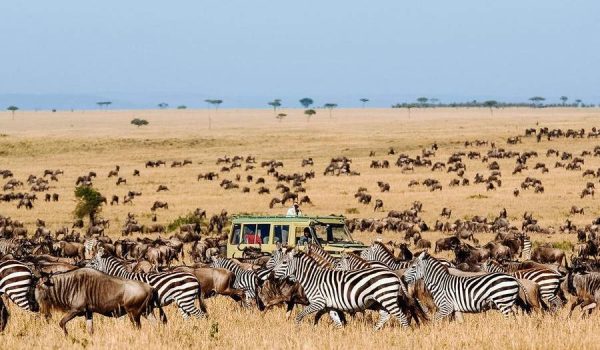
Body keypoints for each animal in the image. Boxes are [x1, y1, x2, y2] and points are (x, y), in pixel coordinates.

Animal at [274, 250, 410, 330]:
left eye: (284, 262)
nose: (272, 273)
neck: (313, 278)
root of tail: (394, 274)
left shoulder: (318, 302)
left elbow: (299, 315)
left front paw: (296, 329)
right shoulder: (330, 305)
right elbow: (337, 322)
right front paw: (340, 335)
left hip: (386, 298)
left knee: (401, 316)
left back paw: (405, 333)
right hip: (379, 300)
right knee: (385, 315)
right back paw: (374, 332)